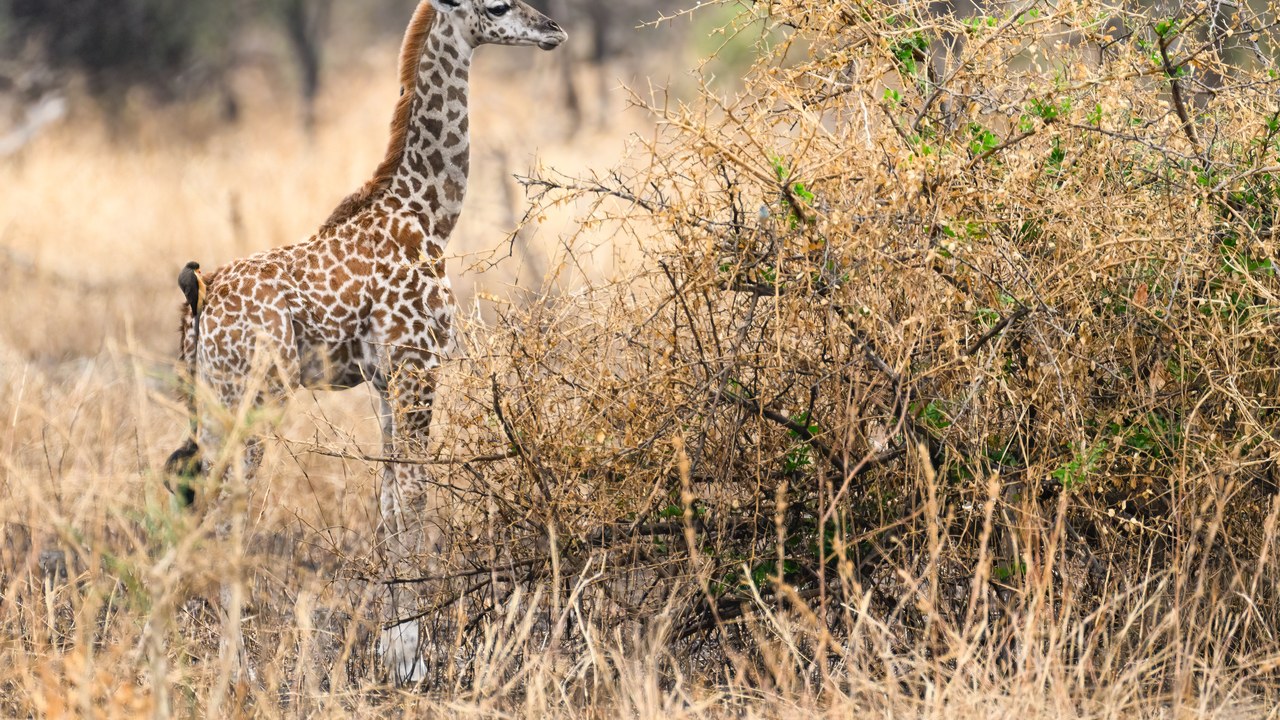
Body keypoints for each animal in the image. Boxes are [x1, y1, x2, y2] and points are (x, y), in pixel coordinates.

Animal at [164, 0, 567, 685]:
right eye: (496, 5)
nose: (553, 31)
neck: (429, 213)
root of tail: (202, 293)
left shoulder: (386, 381)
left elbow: (386, 506)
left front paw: (392, 650)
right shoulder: (418, 365)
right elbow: (415, 500)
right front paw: (412, 660)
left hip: (213, 398)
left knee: (193, 497)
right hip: (257, 396)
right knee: (224, 507)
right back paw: (237, 670)